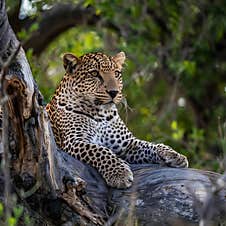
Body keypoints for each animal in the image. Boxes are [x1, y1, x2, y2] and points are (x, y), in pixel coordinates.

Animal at [45, 51, 188, 189]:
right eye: (94, 73)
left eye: (117, 73)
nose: (114, 92)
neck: (100, 114)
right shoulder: (74, 141)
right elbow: (100, 151)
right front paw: (119, 174)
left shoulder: (127, 144)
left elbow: (152, 145)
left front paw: (175, 155)